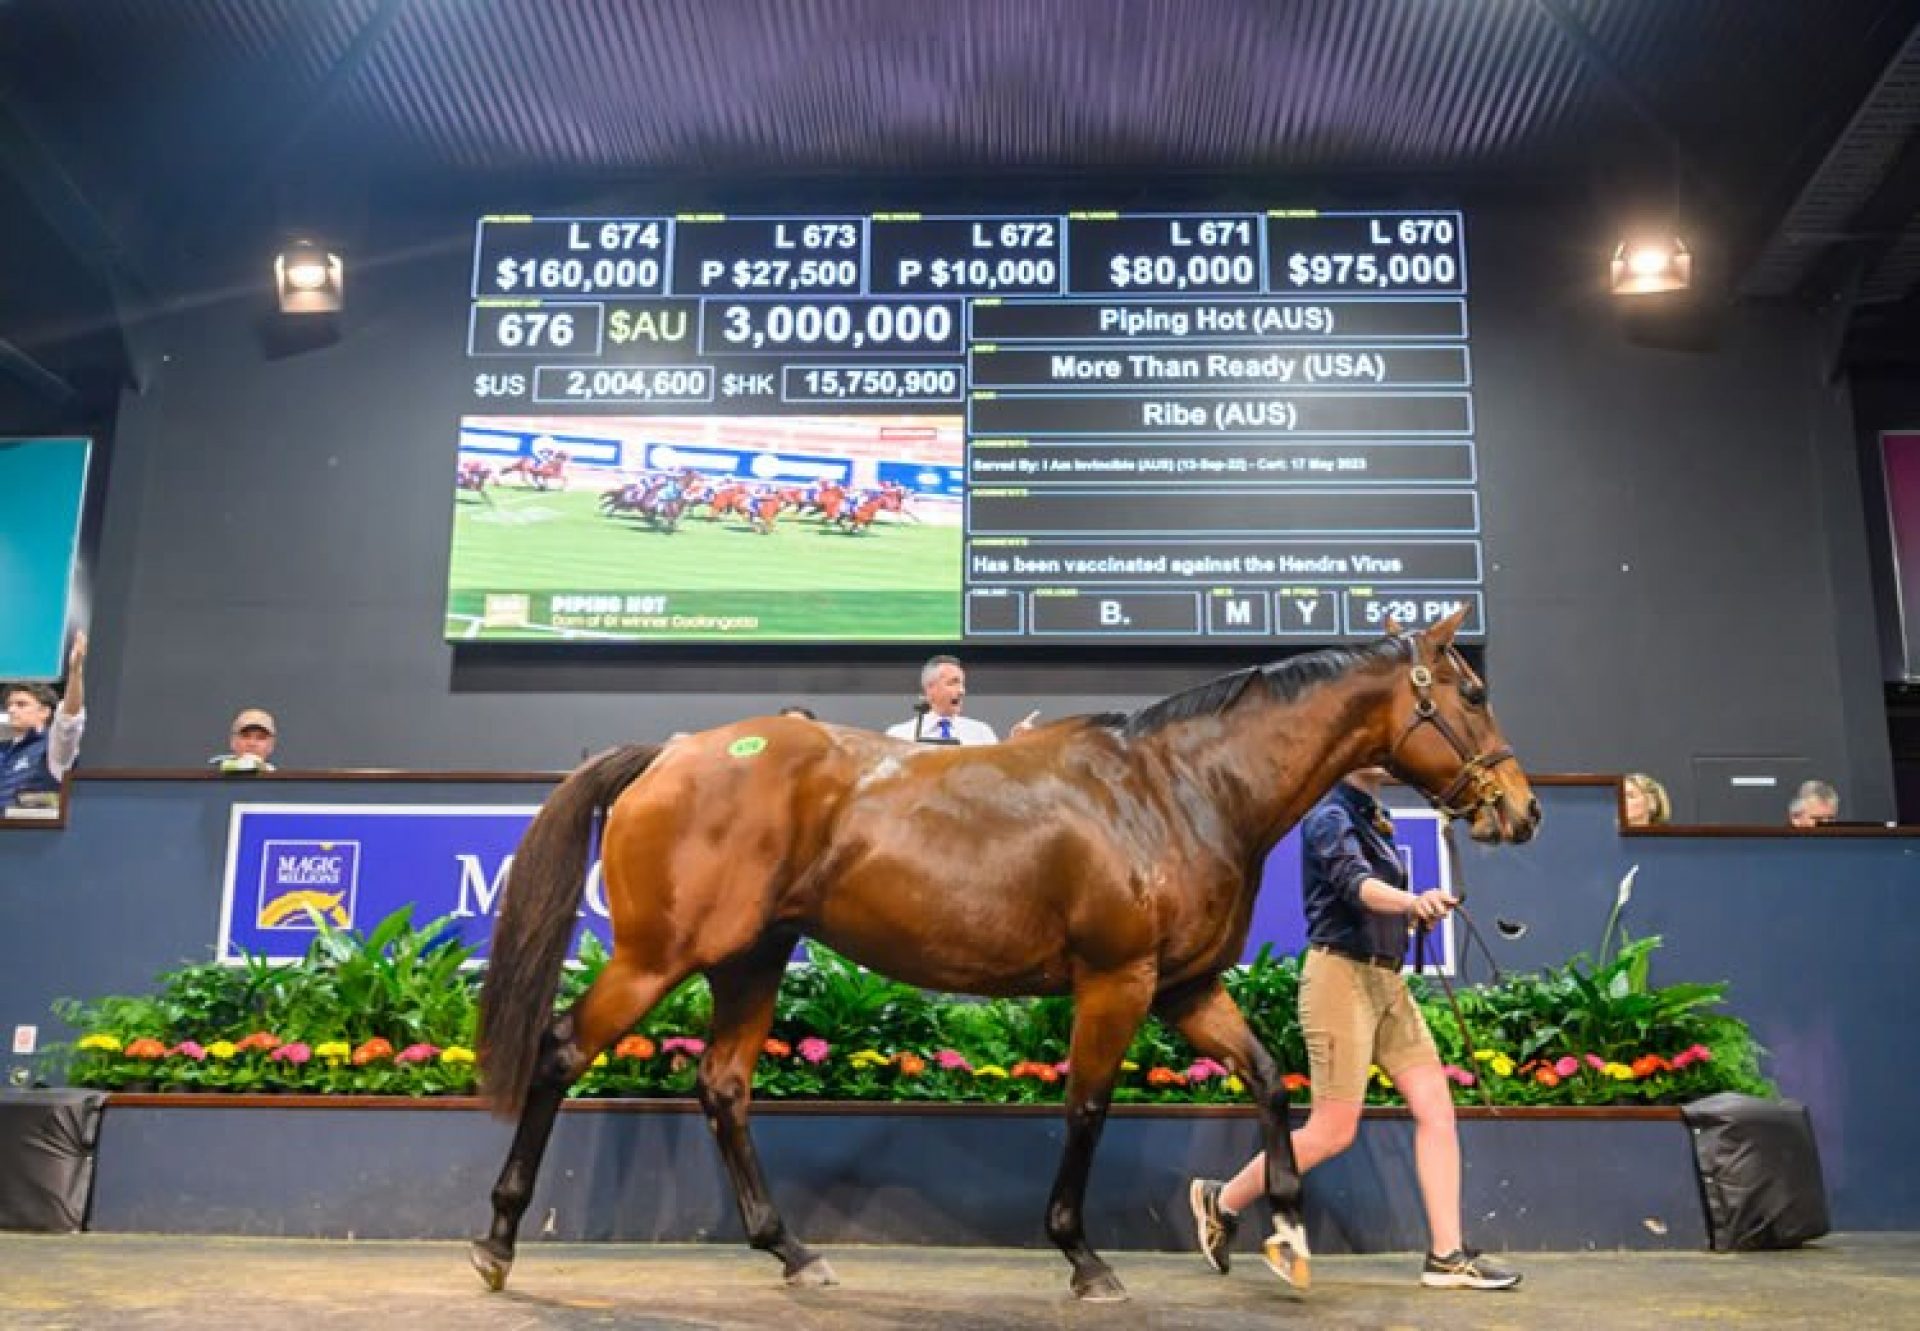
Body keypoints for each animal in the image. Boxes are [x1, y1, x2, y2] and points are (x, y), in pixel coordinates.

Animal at [480, 610, 1543, 1298]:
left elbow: (1272, 1078)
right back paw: (497, 1241)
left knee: (724, 1086)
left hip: (752, 958)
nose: (1522, 809)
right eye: (1473, 691)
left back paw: (793, 1251)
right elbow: (1086, 1108)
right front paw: (1083, 1258)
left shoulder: (1186, 988)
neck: (1178, 788)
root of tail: (670, 752)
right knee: (561, 1052)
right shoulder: (1118, 983)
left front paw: (1280, 1226)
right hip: (657, 956)